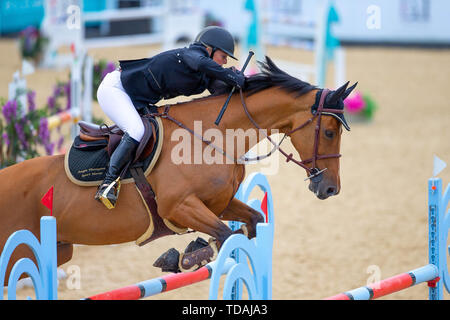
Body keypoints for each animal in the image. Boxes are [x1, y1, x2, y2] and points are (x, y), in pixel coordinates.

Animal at [0, 57, 358, 280]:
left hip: (58, 250)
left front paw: (188, 254)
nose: (330, 188)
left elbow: (250, 222)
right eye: (329, 131)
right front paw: (187, 257)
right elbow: (226, 234)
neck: (213, 136)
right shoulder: (179, 206)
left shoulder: (219, 203)